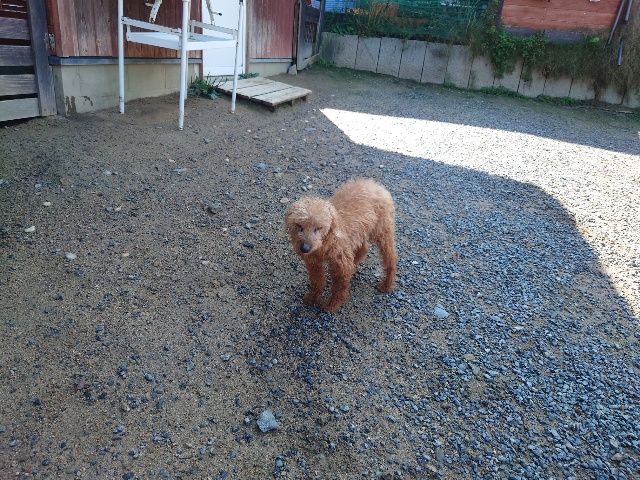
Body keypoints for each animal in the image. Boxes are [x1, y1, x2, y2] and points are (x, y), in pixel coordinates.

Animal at [285, 178, 397, 313]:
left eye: (319, 228)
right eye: (299, 226)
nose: (304, 249)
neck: (324, 244)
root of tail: (375, 185)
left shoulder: (341, 265)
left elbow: (339, 288)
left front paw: (332, 304)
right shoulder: (313, 262)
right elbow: (317, 281)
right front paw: (313, 297)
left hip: (382, 231)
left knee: (391, 257)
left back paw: (387, 284)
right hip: (361, 231)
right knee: (364, 248)